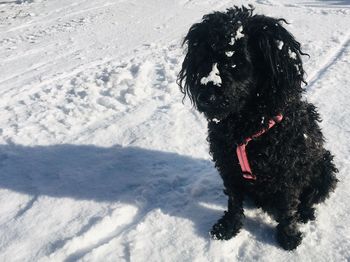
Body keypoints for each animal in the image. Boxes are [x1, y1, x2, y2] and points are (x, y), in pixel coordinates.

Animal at [179, 6, 338, 251]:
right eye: (204, 57)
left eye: (236, 61)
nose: (206, 96)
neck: (245, 125)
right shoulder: (229, 166)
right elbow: (234, 202)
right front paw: (228, 227)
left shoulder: (287, 173)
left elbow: (287, 207)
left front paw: (288, 236)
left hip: (326, 168)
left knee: (309, 198)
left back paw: (305, 213)